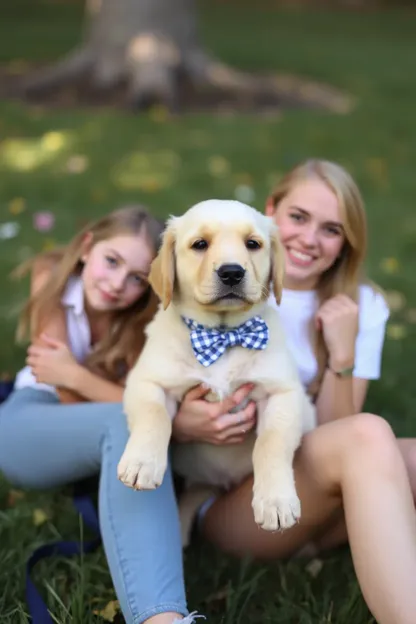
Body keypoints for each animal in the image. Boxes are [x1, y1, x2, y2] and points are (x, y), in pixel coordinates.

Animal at [117, 201, 316, 540]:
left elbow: (271, 442)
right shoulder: (147, 381)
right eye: (200, 244)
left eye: (253, 244)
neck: (223, 335)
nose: (232, 272)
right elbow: (155, 417)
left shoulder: (283, 393)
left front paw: (276, 502)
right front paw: (142, 464)